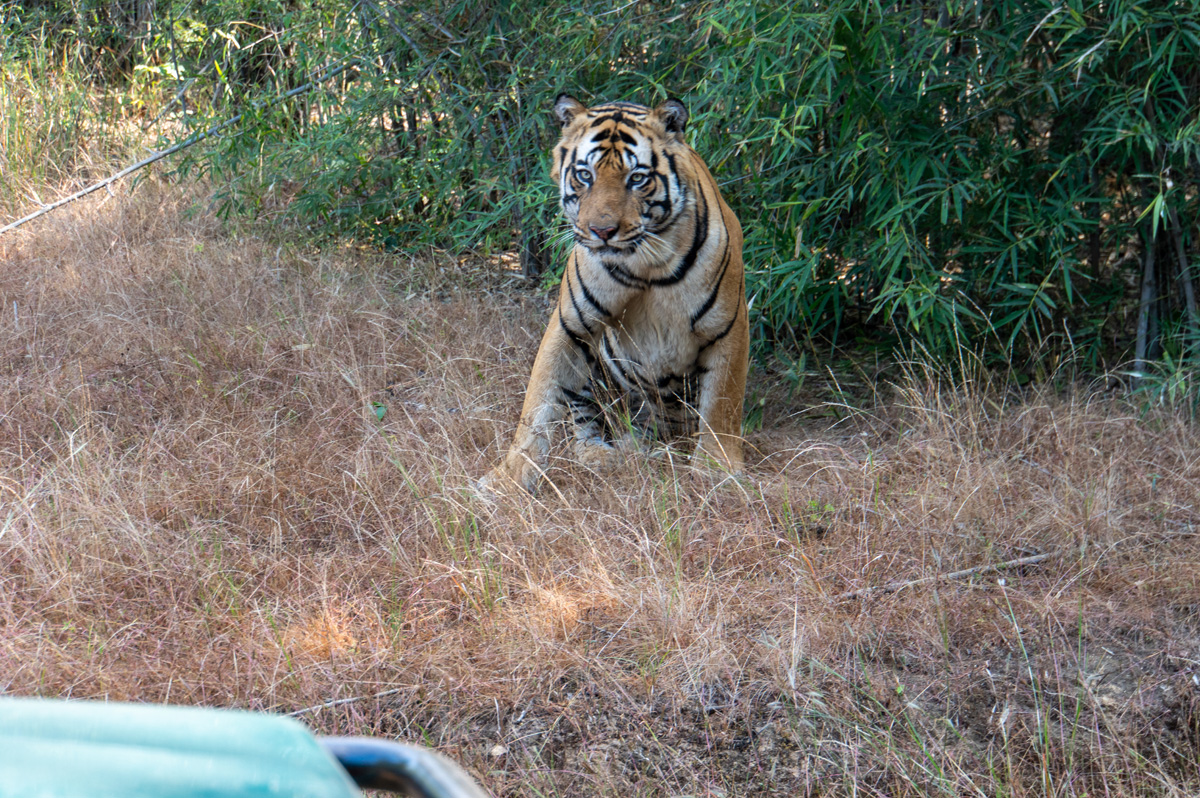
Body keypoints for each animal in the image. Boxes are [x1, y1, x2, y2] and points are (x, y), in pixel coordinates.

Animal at [482, 94, 748, 493]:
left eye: (636, 178)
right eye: (584, 175)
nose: (602, 231)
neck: (647, 264)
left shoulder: (728, 327)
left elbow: (722, 406)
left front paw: (718, 471)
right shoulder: (569, 325)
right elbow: (536, 406)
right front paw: (507, 480)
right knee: (584, 423)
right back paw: (602, 454)